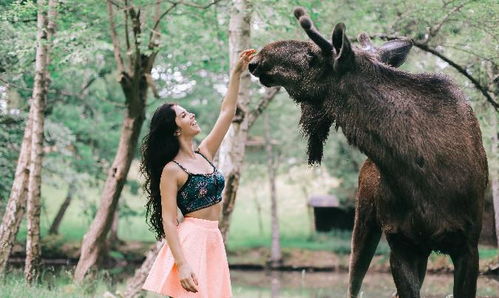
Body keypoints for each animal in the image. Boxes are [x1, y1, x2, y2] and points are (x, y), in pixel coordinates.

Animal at [250, 7, 488, 298]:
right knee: (353, 285)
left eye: (312, 56)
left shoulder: (468, 245)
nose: (258, 58)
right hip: (365, 220)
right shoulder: (402, 243)